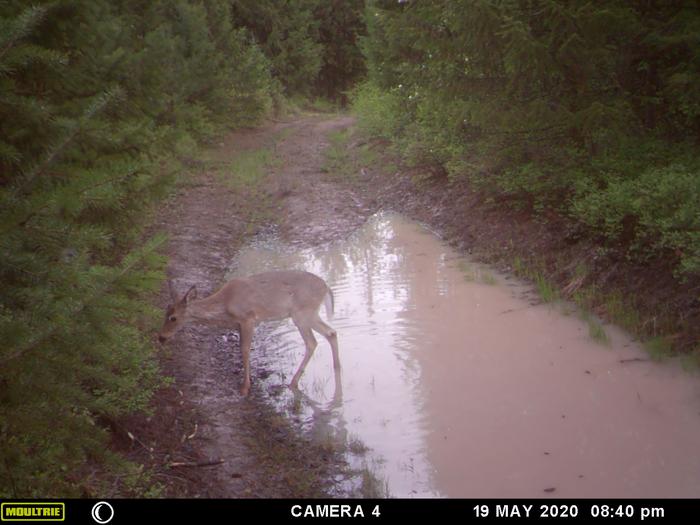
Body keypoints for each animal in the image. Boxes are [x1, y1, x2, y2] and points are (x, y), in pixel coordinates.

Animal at [157, 268, 338, 396]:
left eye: (173, 318)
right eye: (165, 312)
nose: (161, 337)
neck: (225, 304)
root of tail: (326, 288)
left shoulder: (248, 319)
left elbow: (245, 350)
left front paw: (245, 388)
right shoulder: (239, 324)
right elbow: (240, 348)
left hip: (302, 313)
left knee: (312, 342)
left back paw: (293, 383)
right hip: (308, 314)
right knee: (331, 332)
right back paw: (337, 368)